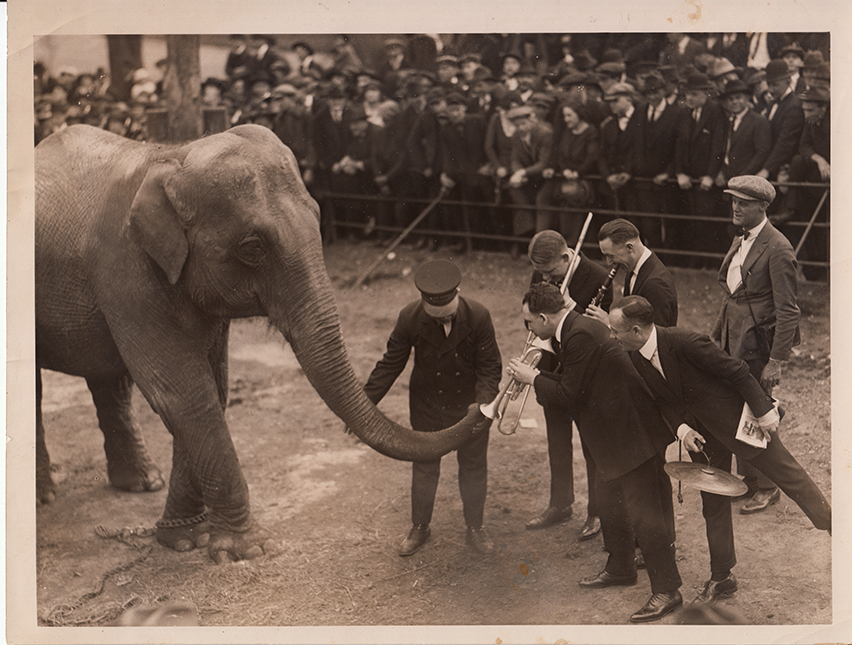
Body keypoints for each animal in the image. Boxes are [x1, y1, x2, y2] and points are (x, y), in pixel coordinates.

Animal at [33, 123, 486, 560]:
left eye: (318, 219)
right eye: (252, 247)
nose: (477, 405)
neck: (172, 155)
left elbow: (212, 387)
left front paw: (184, 540)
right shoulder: (126, 274)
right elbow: (183, 393)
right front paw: (247, 550)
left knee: (109, 383)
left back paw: (143, 483)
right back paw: (46, 497)